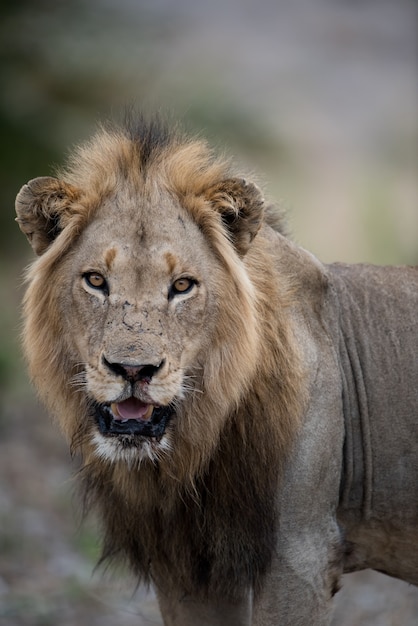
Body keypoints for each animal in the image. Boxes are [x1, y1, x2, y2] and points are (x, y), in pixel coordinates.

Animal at [16, 118, 418, 624]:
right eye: (95, 281)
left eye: (182, 286)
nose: (133, 369)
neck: (196, 446)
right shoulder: (187, 567)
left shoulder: (300, 554)